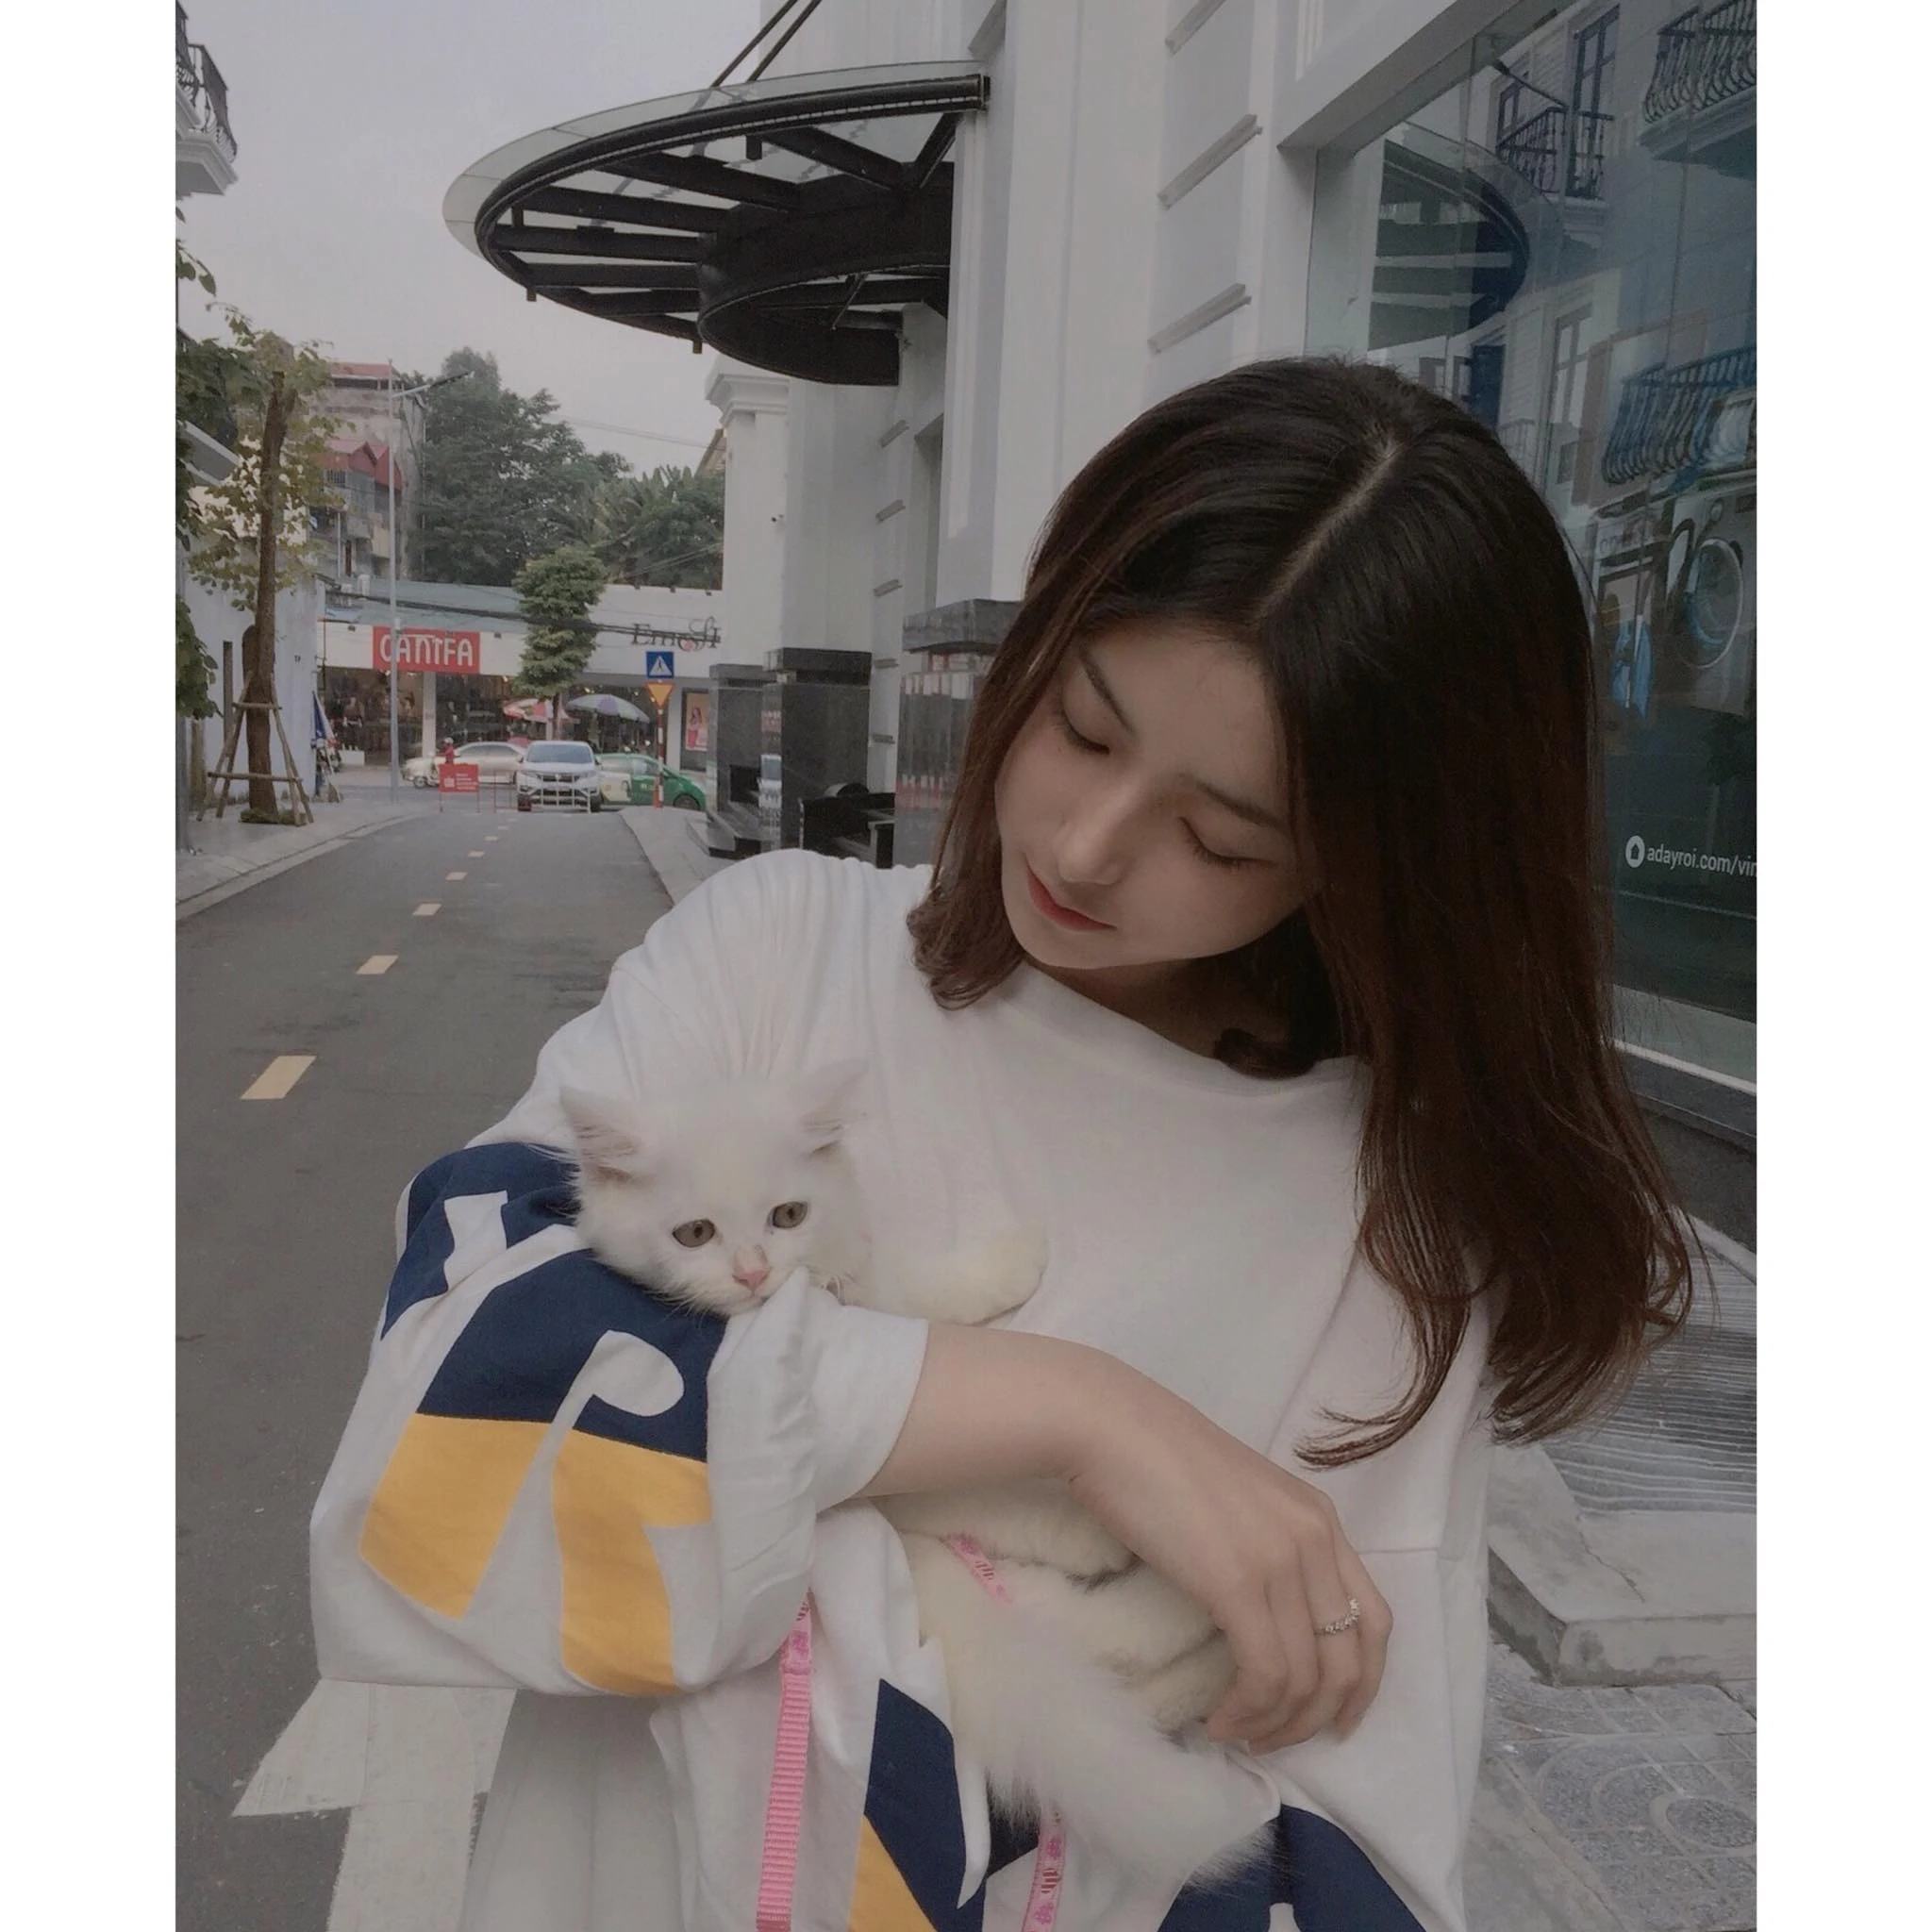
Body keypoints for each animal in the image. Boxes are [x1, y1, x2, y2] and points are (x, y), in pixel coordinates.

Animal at [560, 1063, 1269, 1891]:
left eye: (787, 1215)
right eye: (695, 1234)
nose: (753, 1272)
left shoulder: (891, 1299)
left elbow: (931, 1290)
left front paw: (1009, 1262)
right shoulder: (904, 1483)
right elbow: (992, 1493)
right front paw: (1081, 1527)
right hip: (958, 1590)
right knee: (1105, 1639)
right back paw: (1191, 1617)